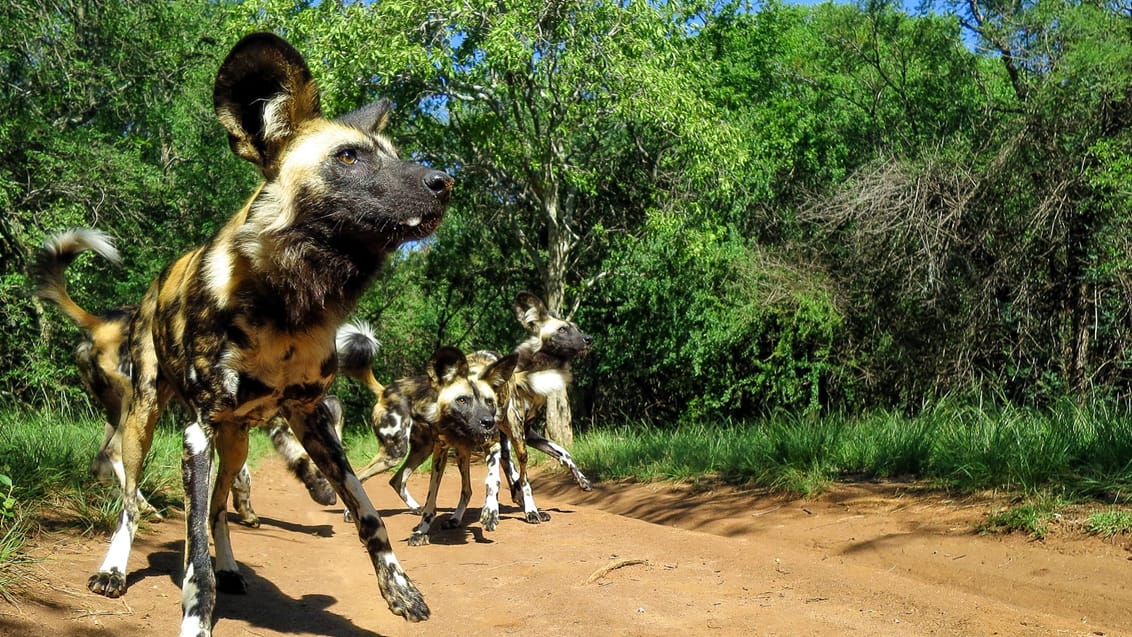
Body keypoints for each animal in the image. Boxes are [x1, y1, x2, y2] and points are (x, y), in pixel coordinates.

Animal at [30, 234, 339, 529]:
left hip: (117, 411)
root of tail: (98, 324)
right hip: (139, 403)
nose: (333, 498)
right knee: (115, 452)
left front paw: (243, 511)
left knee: (101, 461)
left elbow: (239, 475)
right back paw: (145, 509)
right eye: (317, 465)